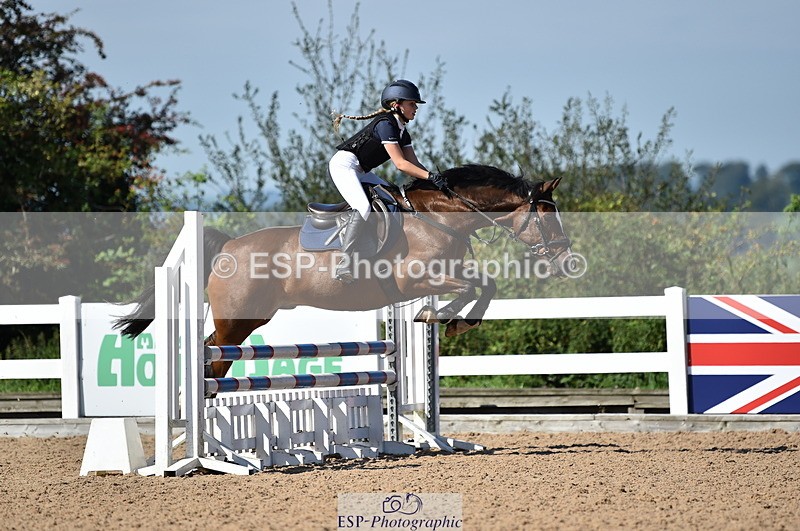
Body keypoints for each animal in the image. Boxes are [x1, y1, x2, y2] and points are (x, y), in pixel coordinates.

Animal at [115, 164, 574, 379]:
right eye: (548, 217)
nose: (567, 260)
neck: (442, 217)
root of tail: (227, 247)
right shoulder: (418, 278)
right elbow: (474, 286)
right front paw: (443, 317)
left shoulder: (445, 275)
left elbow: (484, 284)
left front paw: (451, 320)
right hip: (237, 318)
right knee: (213, 356)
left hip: (250, 319)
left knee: (215, 352)